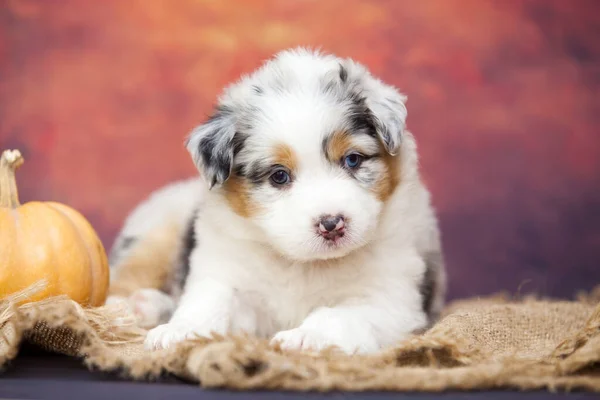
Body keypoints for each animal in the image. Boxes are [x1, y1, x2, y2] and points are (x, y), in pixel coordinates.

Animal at [108, 48, 446, 354]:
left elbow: (340, 315)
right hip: (157, 232)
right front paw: (180, 331)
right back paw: (131, 307)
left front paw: (306, 337)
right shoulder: (228, 272)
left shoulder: (391, 297)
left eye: (352, 159)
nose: (332, 224)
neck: (305, 264)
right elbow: (210, 299)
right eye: (279, 176)